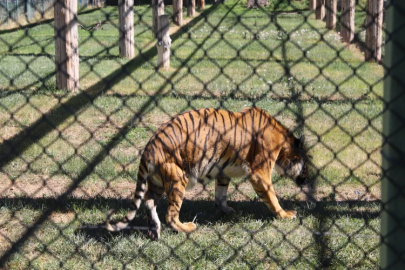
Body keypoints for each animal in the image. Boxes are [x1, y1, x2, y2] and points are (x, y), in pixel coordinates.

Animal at [105, 106, 308, 239]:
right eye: (306, 166)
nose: (306, 180)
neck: (283, 141)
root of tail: (149, 147)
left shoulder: (223, 171)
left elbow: (221, 194)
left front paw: (226, 210)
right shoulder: (260, 172)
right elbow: (272, 196)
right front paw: (284, 214)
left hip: (157, 182)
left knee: (148, 200)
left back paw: (154, 230)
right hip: (178, 179)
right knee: (170, 215)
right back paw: (186, 227)